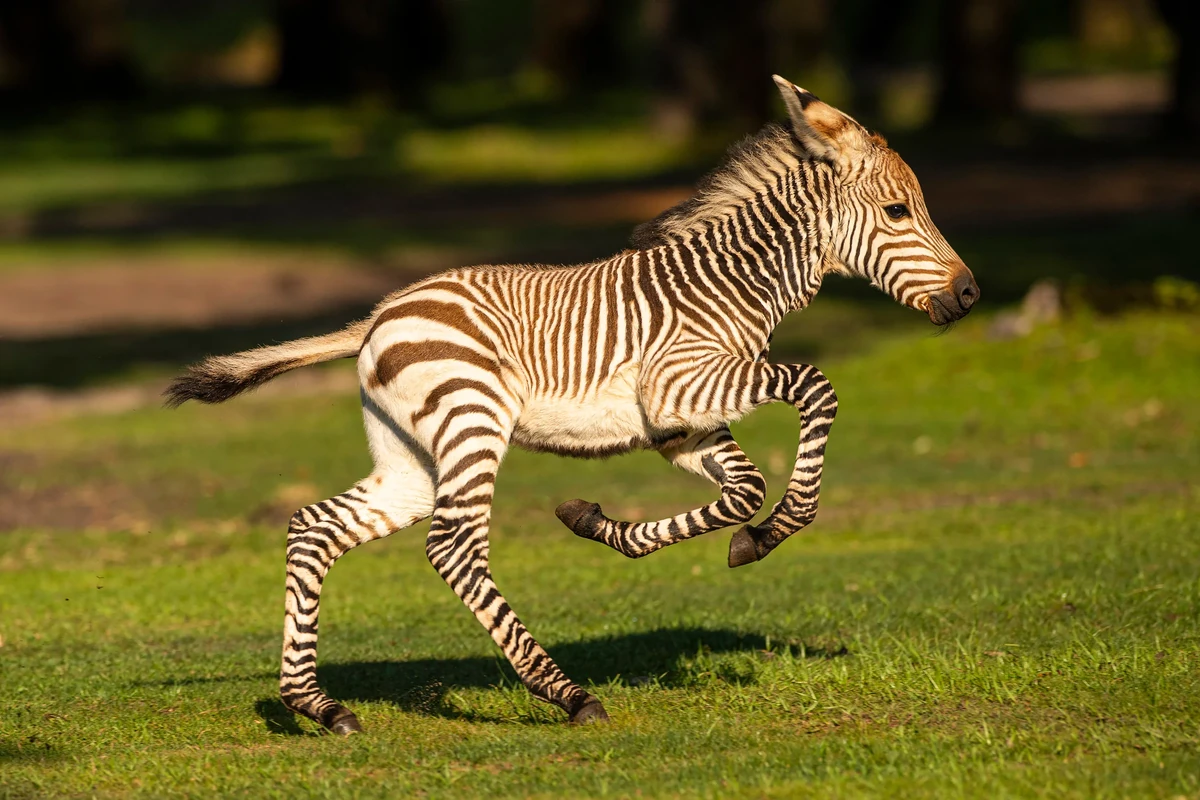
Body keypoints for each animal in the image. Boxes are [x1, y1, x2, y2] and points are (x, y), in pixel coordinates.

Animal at [166, 75, 978, 734]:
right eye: (898, 211)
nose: (971, 295)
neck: (734, 284)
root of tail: (377, 315)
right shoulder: (683, 382)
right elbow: (816, 388)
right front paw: (776, 526)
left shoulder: (679, 426)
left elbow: (743, 489)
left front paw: (613, 524)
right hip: (470, 424)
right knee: (452, 547)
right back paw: (567, 694)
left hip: (411, 459)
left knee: (314, 529)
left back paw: (316, 705)